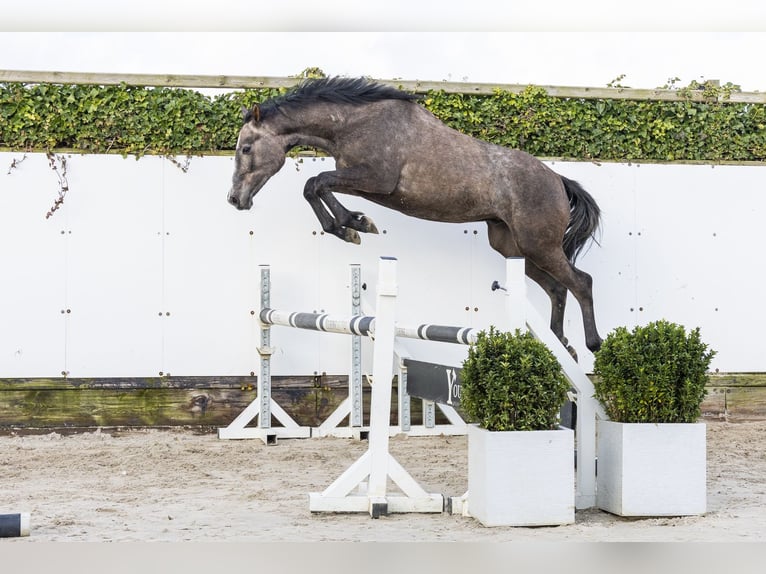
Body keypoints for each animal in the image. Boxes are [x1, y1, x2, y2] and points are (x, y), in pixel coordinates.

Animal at [227, 77, 603, 355]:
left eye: (245, 148)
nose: (235, 199)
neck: (353, 123)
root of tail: (558, 179)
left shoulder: (375, 179)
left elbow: (316, 182)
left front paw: (354, 225)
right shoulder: (365, 183)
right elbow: (316, 186)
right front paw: (351, 225)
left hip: (538, 244)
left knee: (581, 282)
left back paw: (591, 344)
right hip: (514, 248)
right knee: (557, 288)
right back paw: (561, 344)